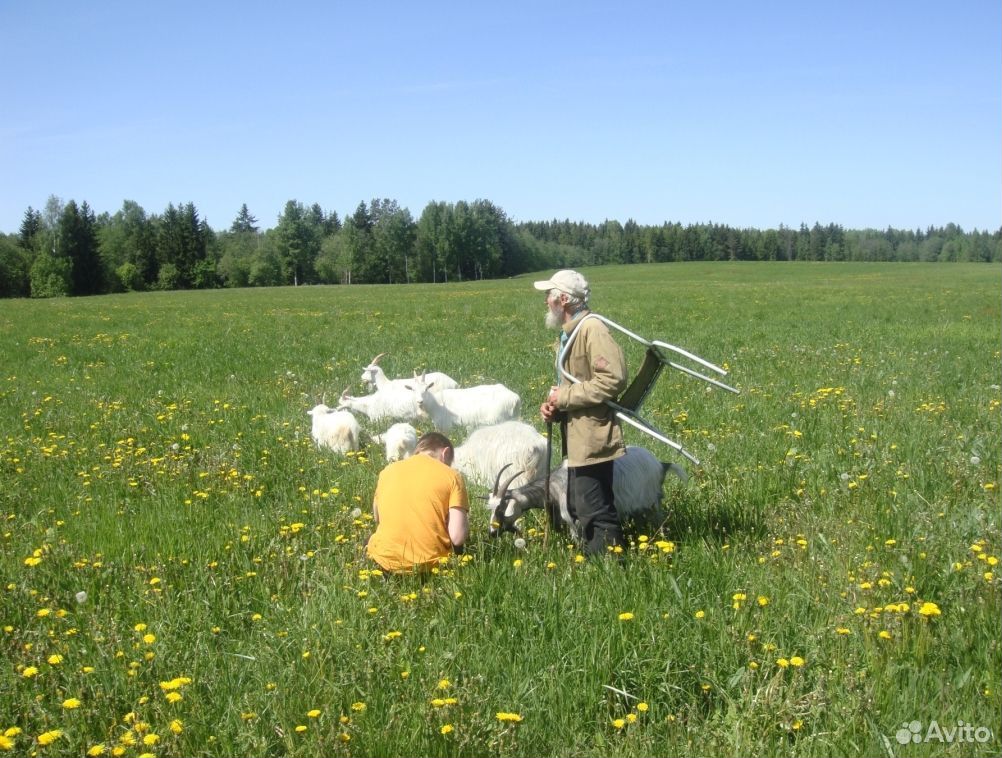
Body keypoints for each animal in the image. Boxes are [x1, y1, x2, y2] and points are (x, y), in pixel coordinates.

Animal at [484, 443, 689, 537]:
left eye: (501, 509)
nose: (492, 532)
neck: (556, 484)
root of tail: (661, 464)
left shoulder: (573, 520)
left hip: (653, 502)